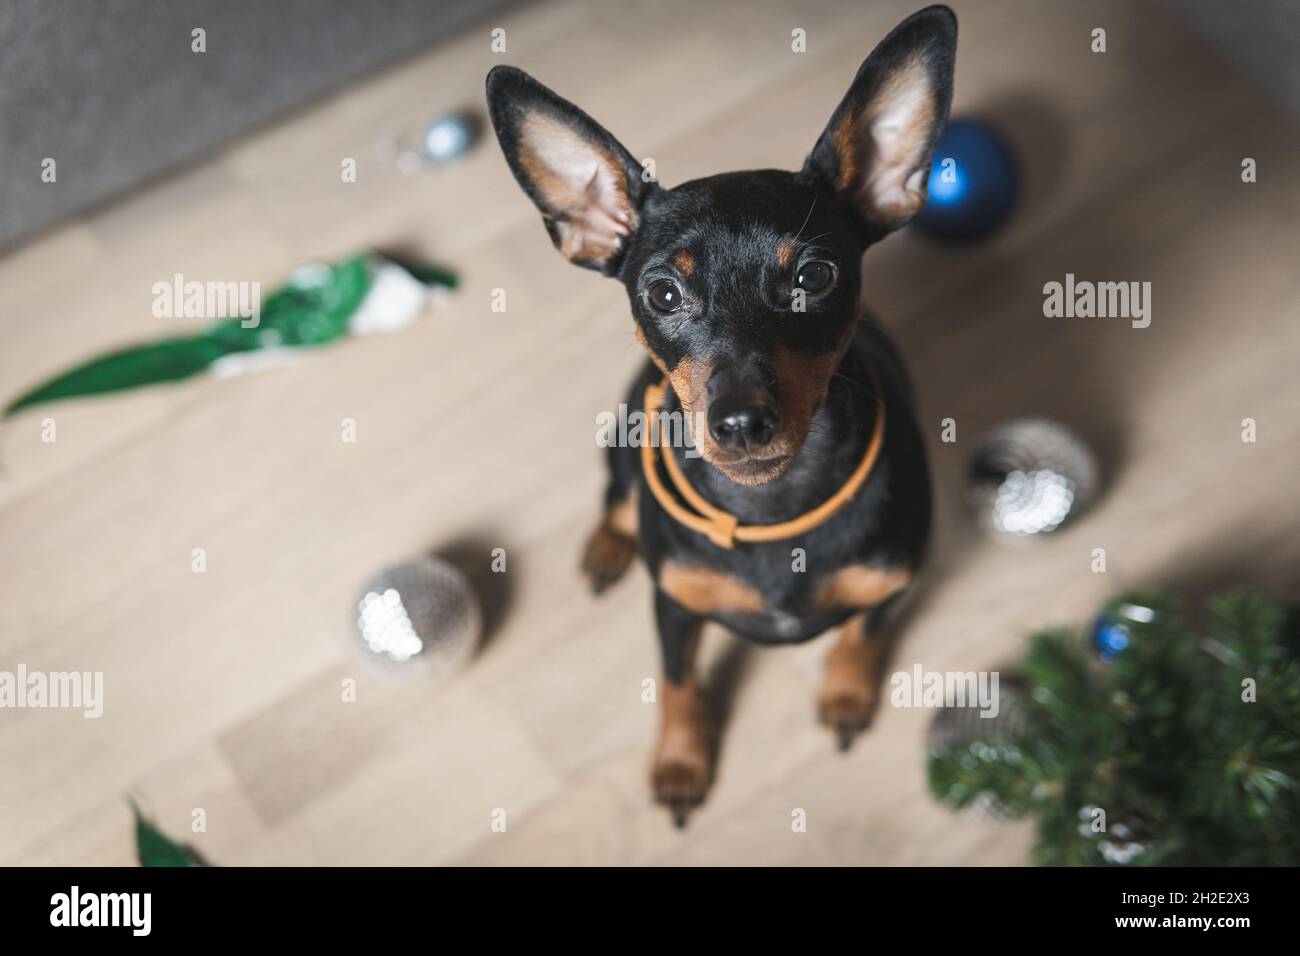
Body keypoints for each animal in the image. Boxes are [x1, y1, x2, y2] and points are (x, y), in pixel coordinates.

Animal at [488, 3, 956, 827]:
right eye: (662, 293)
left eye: (815, 277)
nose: (740, 423)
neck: (773, 507)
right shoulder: (674, 608)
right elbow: (678, 684)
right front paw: (680, 763)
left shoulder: (893, 581)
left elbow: (864, 632)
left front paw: (846, 693)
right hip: (621, 438)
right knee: (615, 497)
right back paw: (609, 545)